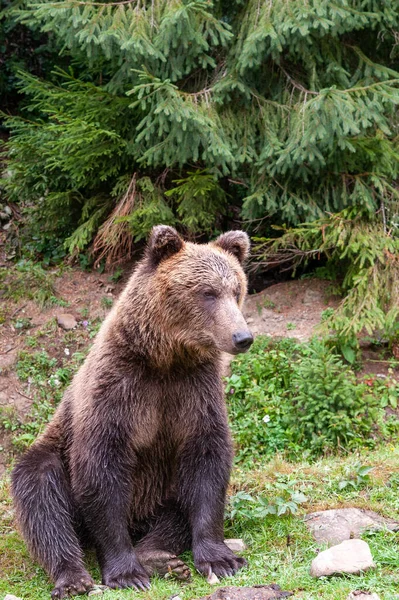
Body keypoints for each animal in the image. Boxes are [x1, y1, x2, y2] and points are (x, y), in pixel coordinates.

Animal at [11, 226, 253, 600]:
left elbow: (207, 464)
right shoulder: (118, 392)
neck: (165, 359)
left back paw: (159, 557)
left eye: (236, 289)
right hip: (54, 452)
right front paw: (126, 573)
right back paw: (73, 576)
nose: (242, 337)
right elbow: (101, 471)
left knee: (175, 513)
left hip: (162, 490)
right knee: (41, 495)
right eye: (207, 292)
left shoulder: (195, 392)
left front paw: (221, 559)